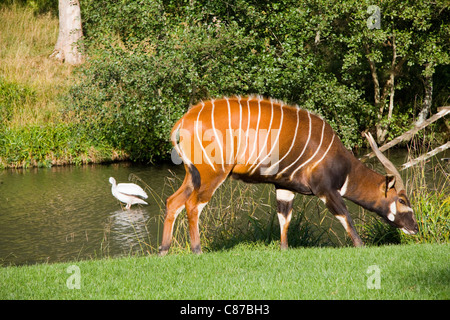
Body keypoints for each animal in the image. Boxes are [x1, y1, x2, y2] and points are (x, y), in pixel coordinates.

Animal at [159, 95, 418, 255]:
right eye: (402, 200)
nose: (415, 228)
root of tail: (183, 121)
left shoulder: (285, 187)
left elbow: (284, 219)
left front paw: (283, 250)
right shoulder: (326, 190)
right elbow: (345, 216)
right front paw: (361, 246)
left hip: (193, 175)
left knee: (173, 202)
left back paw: (163, 251)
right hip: (212, 173)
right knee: (193, 205)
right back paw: (197, 250)